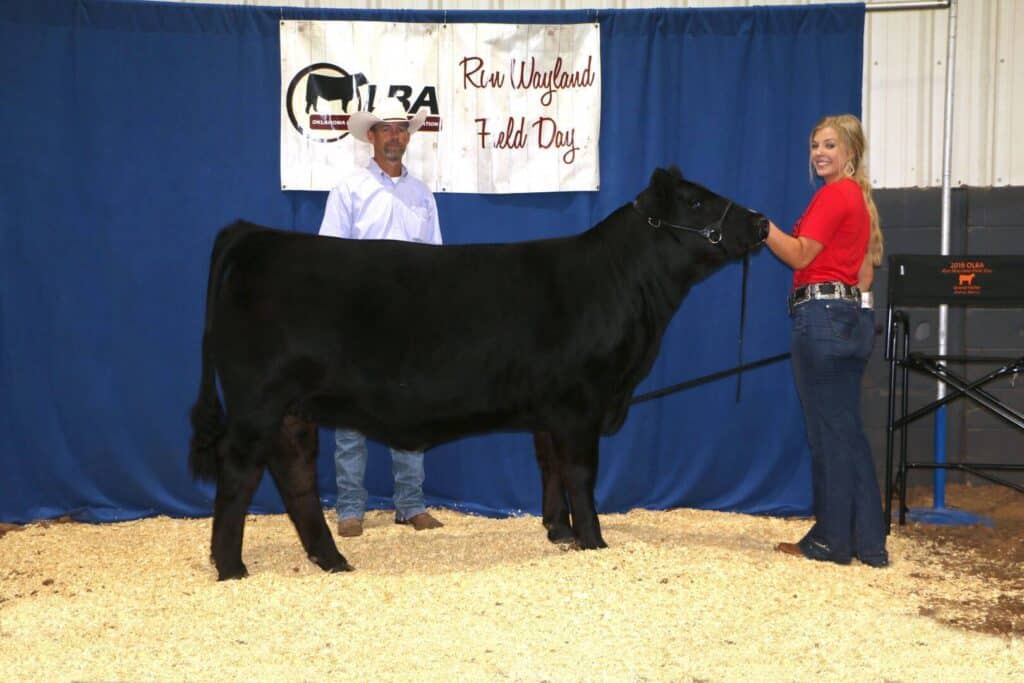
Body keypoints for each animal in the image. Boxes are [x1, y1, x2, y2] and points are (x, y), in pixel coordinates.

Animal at [189, 167, 769, 580]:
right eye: (696, 201)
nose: (762, 221)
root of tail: (256, 235)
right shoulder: (581, 402)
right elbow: (580, 474)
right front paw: (593, 540)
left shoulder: (552, 409)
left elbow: (549, 467)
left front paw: (558, 531)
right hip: (258, 401)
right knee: (240, 471)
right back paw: (231, 566)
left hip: (290, 410)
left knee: (294, 475)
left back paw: (329, 559)